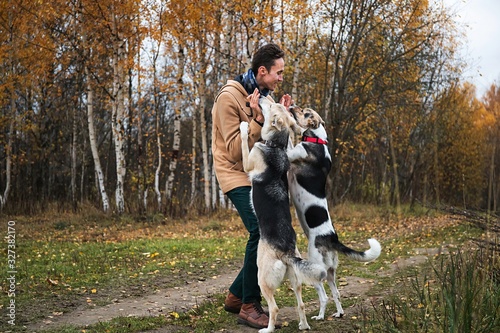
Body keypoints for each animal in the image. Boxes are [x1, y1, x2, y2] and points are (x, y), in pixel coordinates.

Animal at [240, 100, 326, 330]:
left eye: (271, 106)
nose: (263, 97)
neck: (275, 146)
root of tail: (286, 252)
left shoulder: (248, 160)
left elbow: (244, 145)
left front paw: (244, 127)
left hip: (262, 278)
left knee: (275, 308)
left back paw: (267, 329)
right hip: (295, 279)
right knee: (301, 303)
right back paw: (304, 325)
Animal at [286, 106, 382, 320]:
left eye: (305, 112)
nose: (291, 106)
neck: (318, 140)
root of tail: (333, 239)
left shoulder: (291, 153)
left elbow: (288, 140)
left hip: (315, 266)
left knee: (323, 296)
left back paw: (320, 316)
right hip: (330, 271)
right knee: (336, 293)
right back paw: (338, 313)